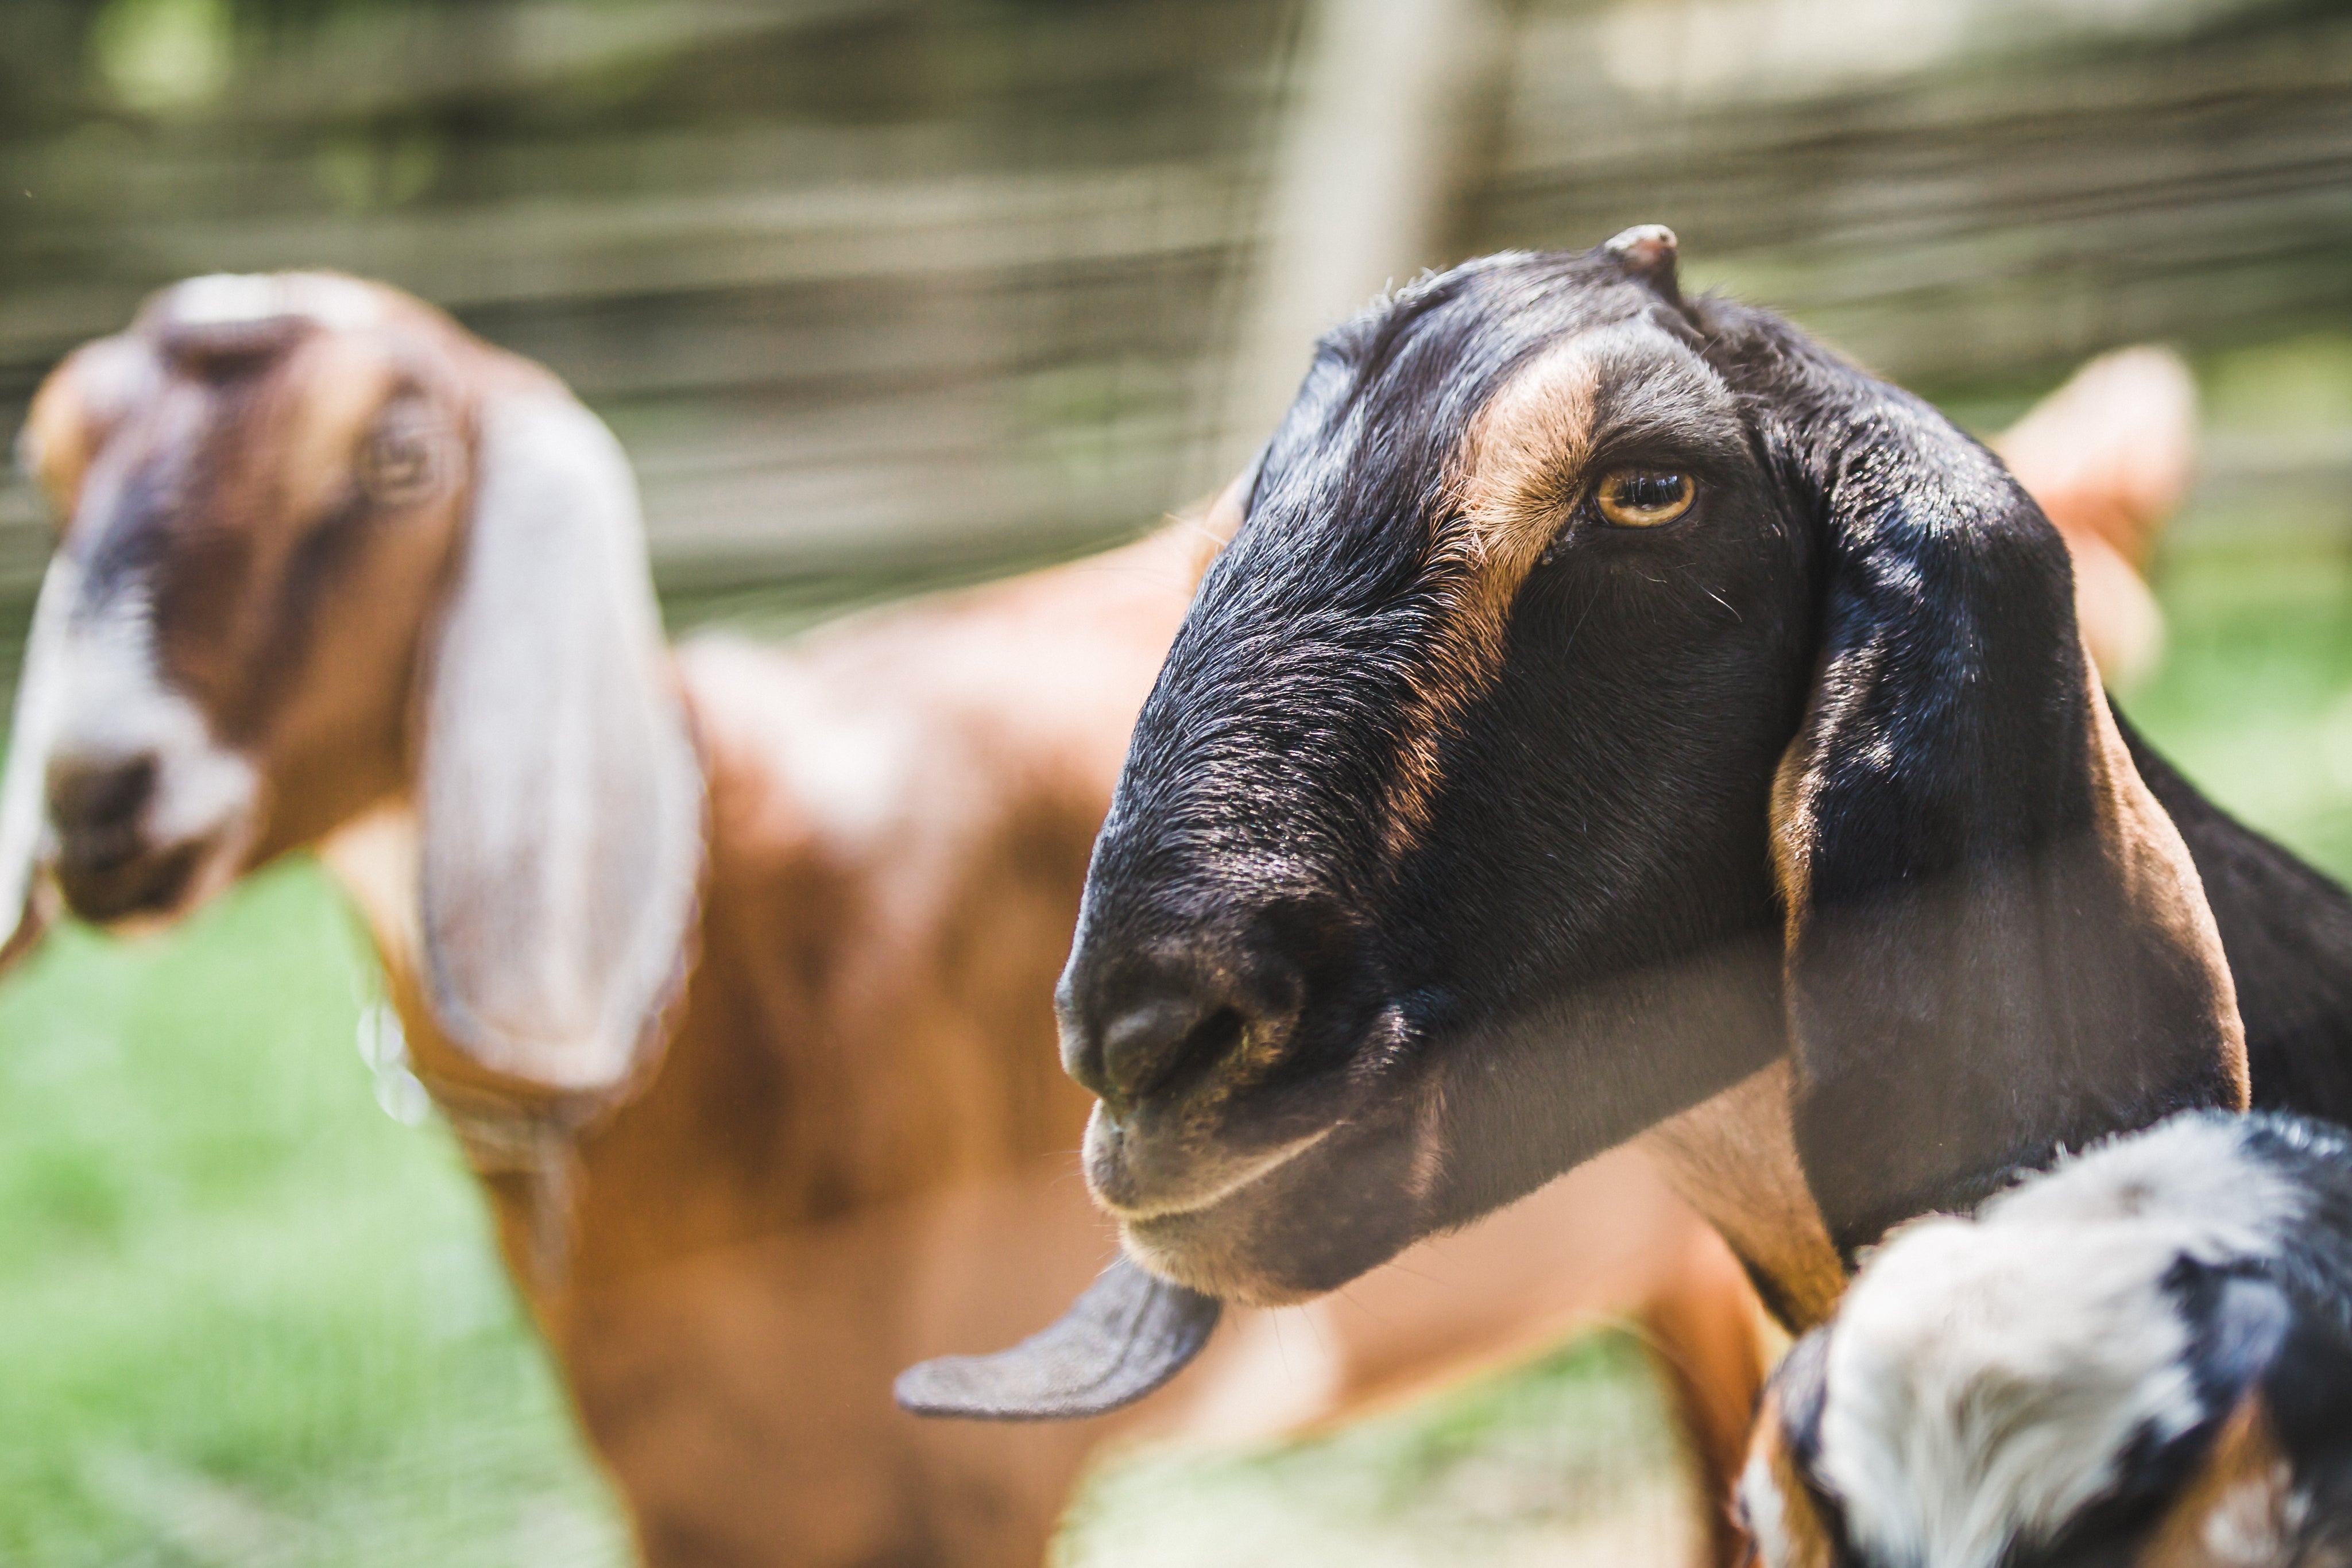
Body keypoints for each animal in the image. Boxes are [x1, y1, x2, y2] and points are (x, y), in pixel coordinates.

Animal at [0, 272, 1777, 1568]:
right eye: (59, 463)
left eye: (394, 463)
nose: (99, 794)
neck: (736, 934)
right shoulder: (693, 1486)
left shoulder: (976, 1471)